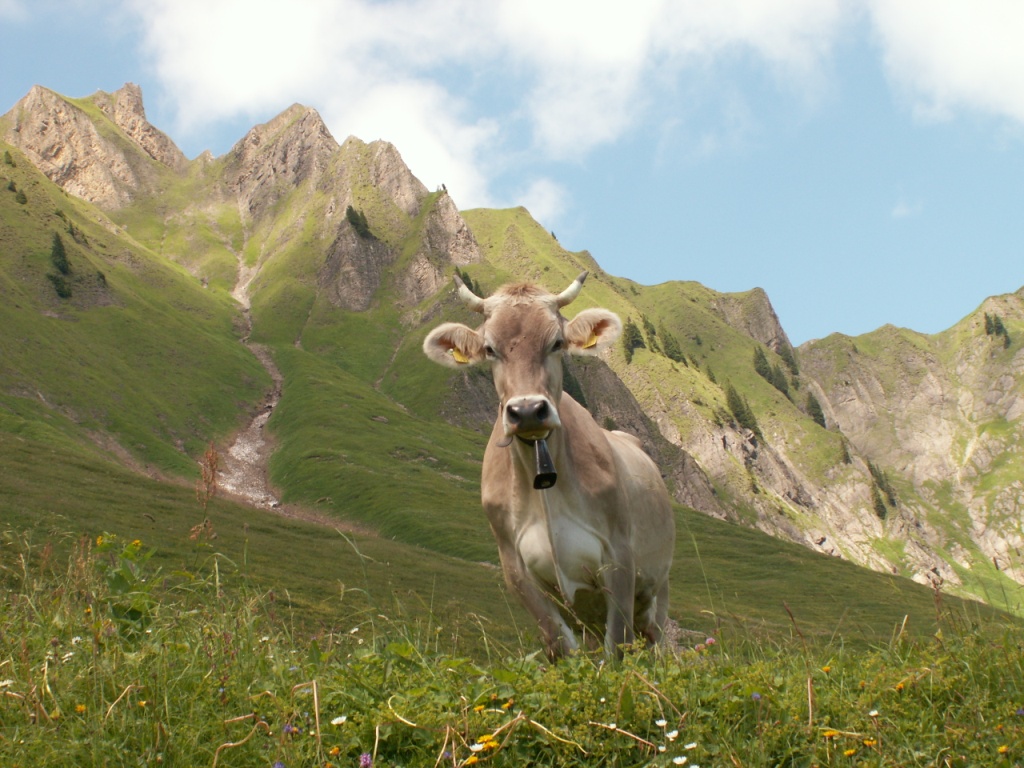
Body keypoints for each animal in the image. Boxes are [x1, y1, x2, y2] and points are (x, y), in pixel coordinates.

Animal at [419, 272, 675, 663]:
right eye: (490, 348)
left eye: (556, 343)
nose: (526, 411)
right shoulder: (516, 569)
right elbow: (561, 645)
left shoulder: (619, 557)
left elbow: (617, 645)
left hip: (658, 587)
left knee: (654, 639)